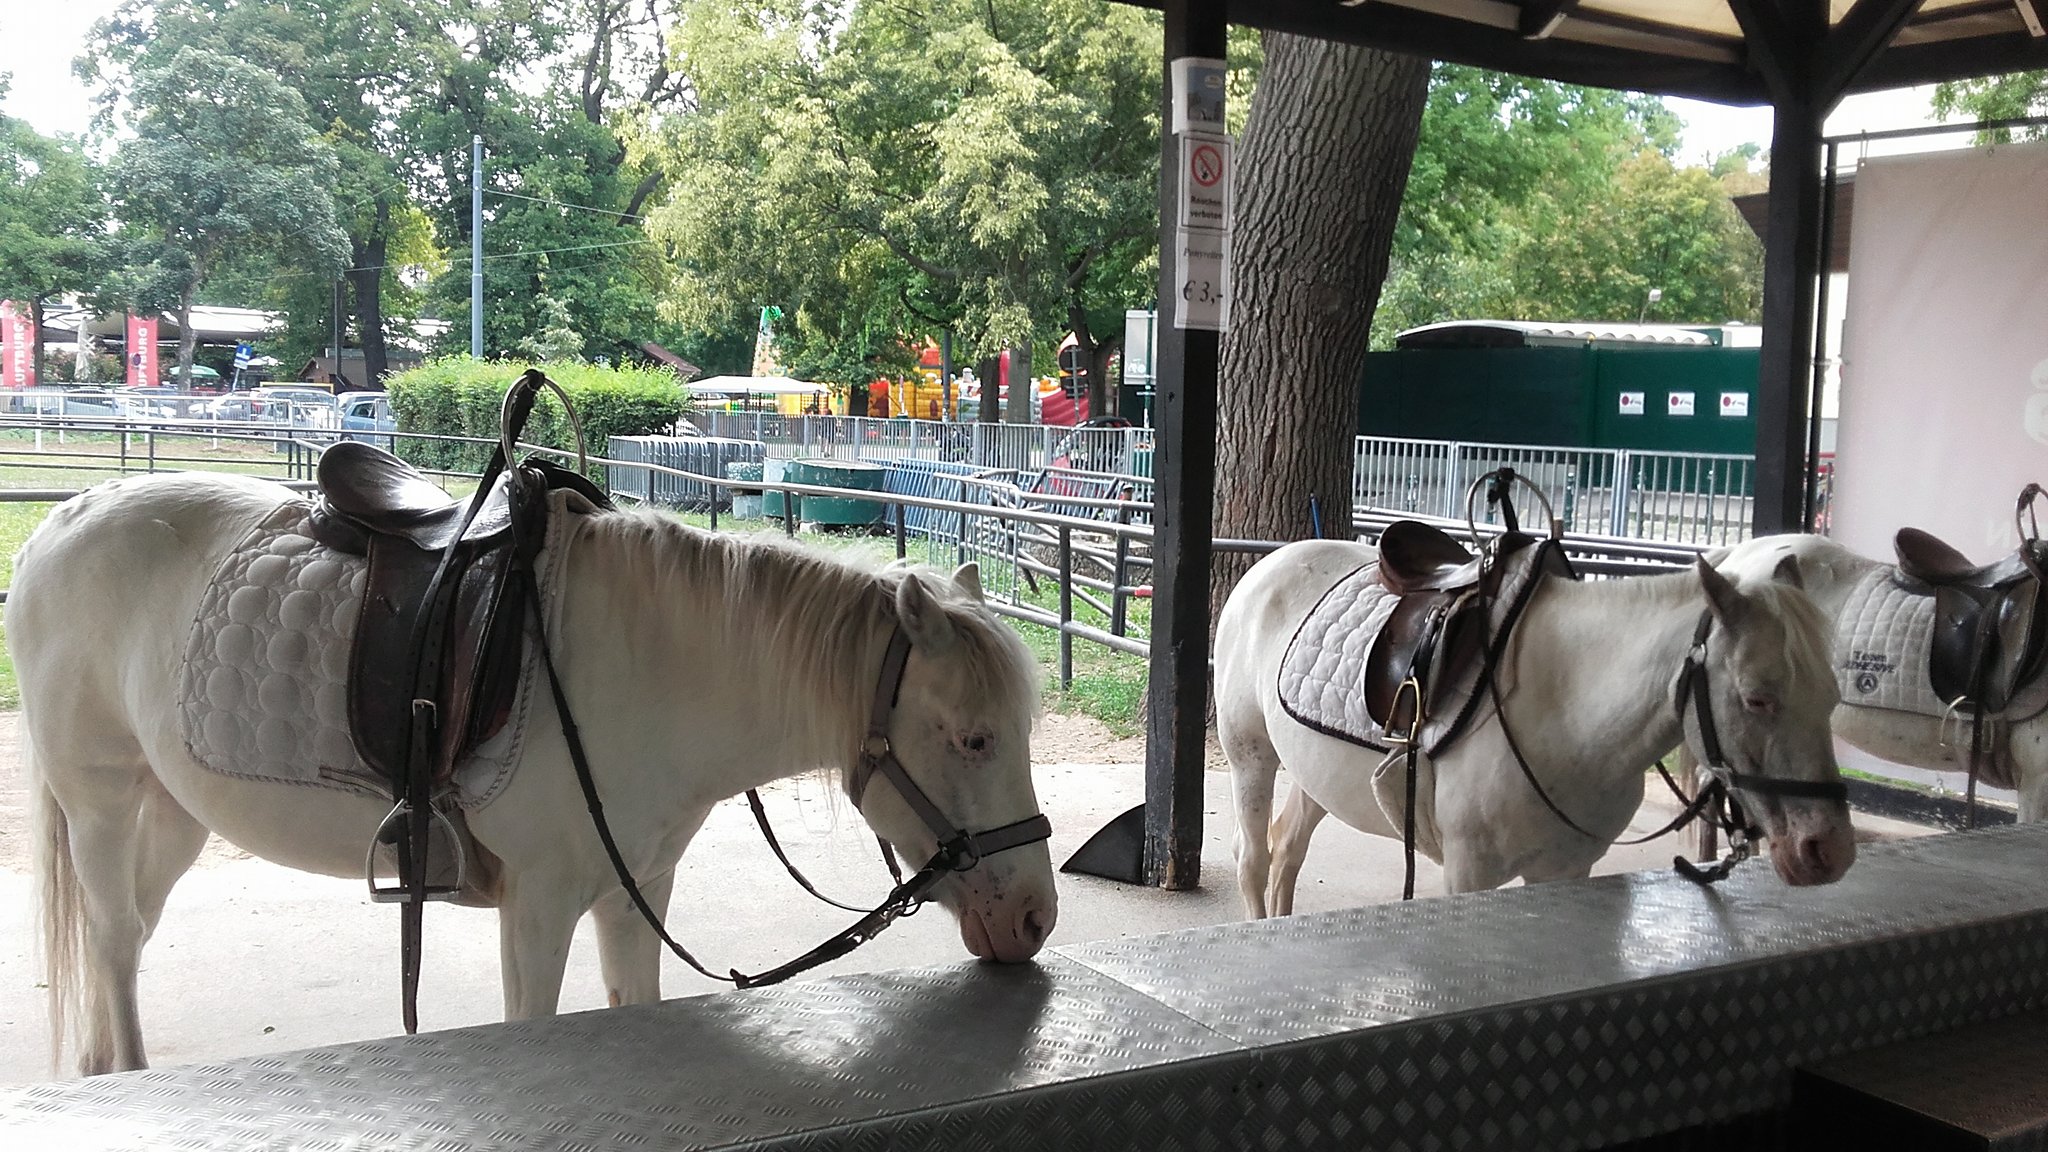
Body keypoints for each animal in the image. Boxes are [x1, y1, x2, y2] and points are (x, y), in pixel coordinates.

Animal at [4, 469, 1056, 1074]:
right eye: (973, 740)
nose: (1035, 919)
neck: (648, 667)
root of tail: (62, 520)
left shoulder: (637, 894)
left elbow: (635, 1001)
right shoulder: (538, 908)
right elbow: (531, 1018)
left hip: (173, 810)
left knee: (126, 932)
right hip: (98, 801)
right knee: (111, 935)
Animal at [1212, 532, 1859, 910]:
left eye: (1832, 696)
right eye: (1757, 698)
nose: (1828, 851)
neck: (1567, 713)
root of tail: (1270, 564)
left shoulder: (1568, 871)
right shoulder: (1467, 873)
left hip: (1314, 773)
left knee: (1287, 853)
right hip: (1251, 757)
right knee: (1254, 860)